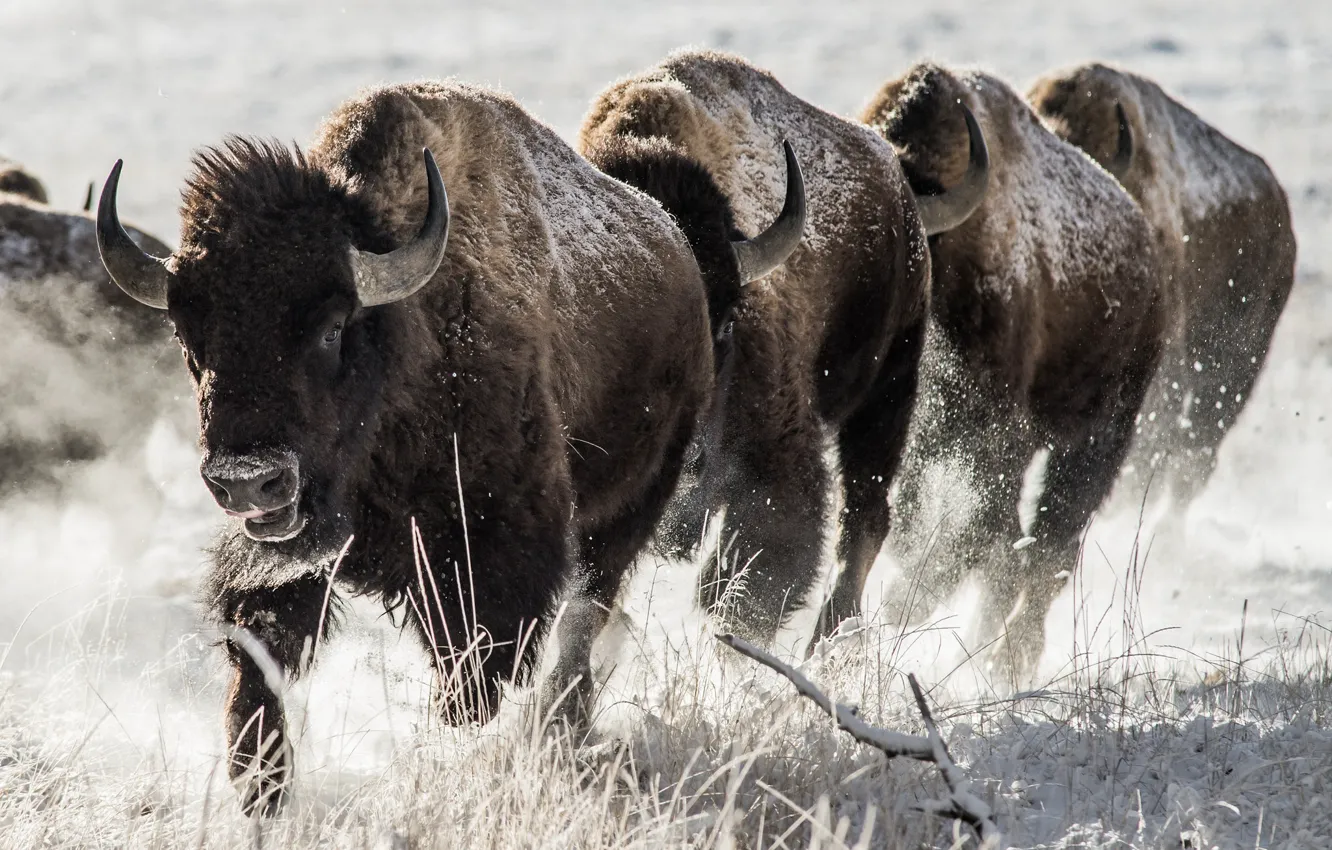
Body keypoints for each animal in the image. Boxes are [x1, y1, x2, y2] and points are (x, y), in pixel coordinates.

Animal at [96, 80, 799, 815]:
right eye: (189, 333)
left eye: (332, 327)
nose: (246, 479)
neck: (404, 340)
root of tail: (676, 247)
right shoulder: (286, 557)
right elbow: (261, 653)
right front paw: (261, 786)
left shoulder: (494, 558)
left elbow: (476, 676)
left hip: (629, 509)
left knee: (588, 616)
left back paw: (564, 726)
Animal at [581, 50, 983, 647]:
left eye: (726, 323)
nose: (690, 460)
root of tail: (898, 183)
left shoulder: (781, 456)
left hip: (888, 386)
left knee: (864, 517)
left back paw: (829, 642)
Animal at [864, 64, 1165, 681]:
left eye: (906, 248)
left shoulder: (999, 438)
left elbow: (977, 538)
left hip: (1100, 436)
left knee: (1054, 541)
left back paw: (1010, 657)